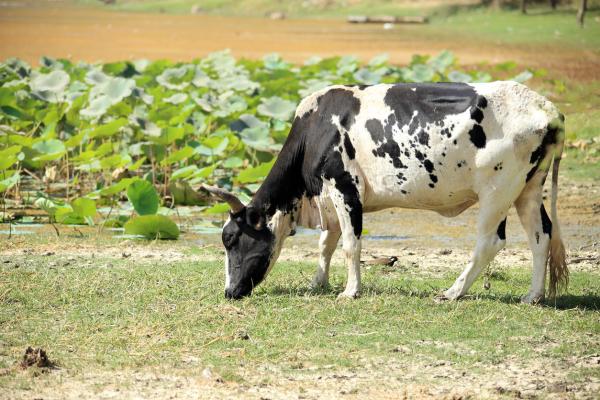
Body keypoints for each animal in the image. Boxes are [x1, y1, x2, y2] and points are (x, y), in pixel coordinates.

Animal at [204, 81, 568, 304]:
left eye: (231, 239)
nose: (229, 292)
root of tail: (545, 107)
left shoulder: (344, 186)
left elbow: (350, 245)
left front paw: (350, 291)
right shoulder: (330, 197)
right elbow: (326, 244)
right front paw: (317, 283)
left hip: (497, 190)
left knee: (490, 241)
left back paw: (452, 292)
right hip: (528, 188)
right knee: (541, 235)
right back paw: (533, 296)